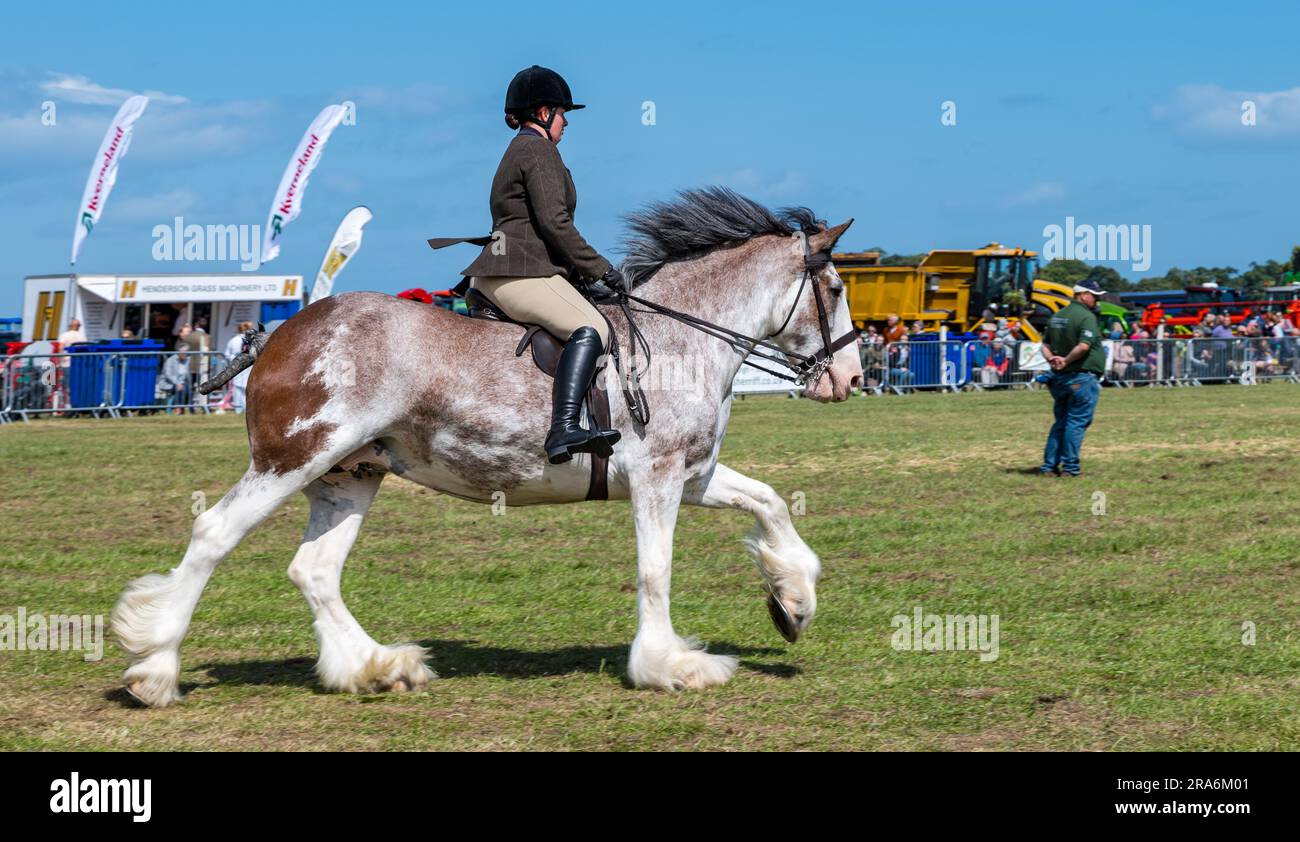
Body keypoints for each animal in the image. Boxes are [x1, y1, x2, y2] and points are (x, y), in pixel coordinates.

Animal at [114, 189, 863, 701]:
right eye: (833, 287)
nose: (853, 378)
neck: (684, 337)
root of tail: (277, 334)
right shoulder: (656, 476)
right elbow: (656, 570)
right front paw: (670, 664)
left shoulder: (693, 473)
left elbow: (770, 503)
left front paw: (793, 602)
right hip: (291, 459)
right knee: (214, 534)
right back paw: (155, 667)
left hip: (349, 473)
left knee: (315, 570)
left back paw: (376, 666)